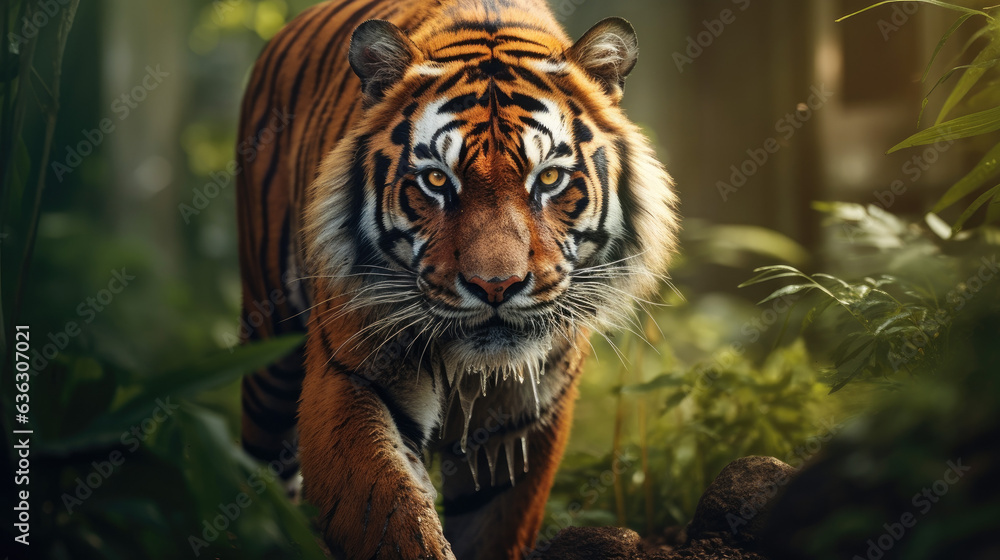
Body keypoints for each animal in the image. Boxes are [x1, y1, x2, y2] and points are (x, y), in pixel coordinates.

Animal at [235, 0, 679, 558]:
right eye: (436, 180)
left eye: (549, 179)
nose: (496, 286)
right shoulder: (350, 379)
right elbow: (391, 515)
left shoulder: (525, 421)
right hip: (268, 352)